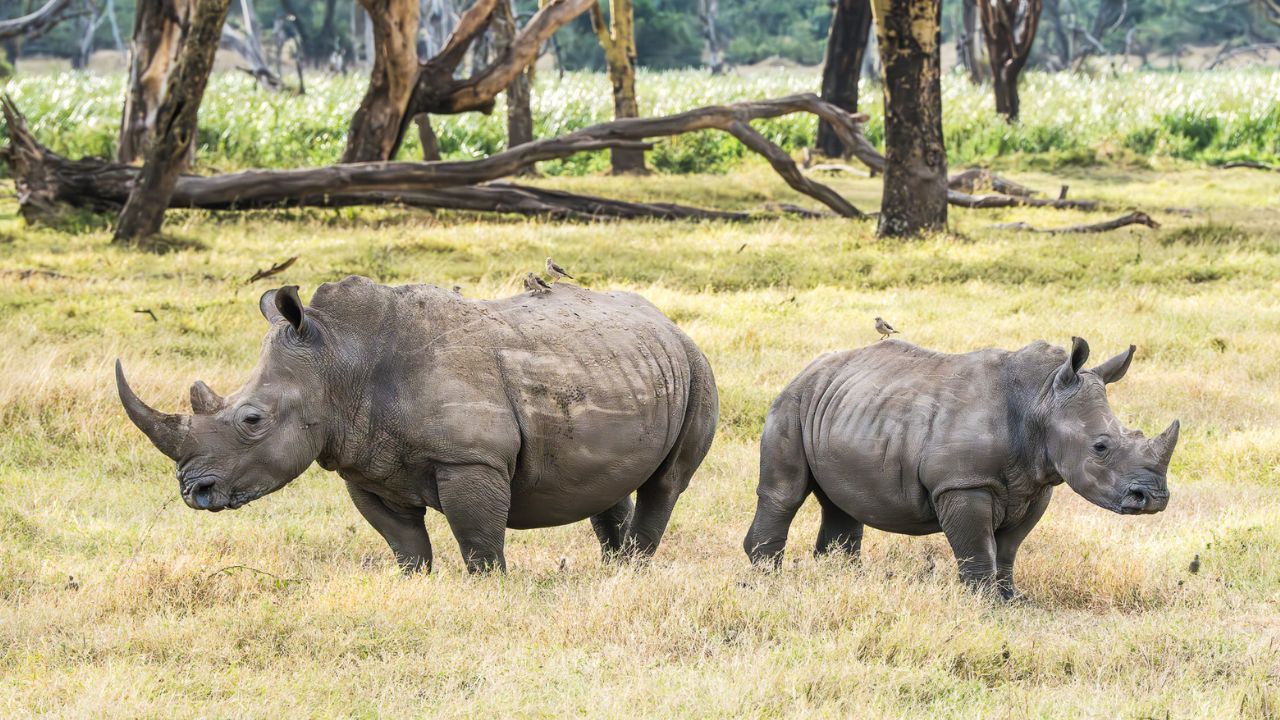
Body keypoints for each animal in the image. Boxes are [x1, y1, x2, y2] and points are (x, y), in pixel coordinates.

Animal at [117, 276, 718, 572]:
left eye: (252, 419)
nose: (194, 492)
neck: (339, 360)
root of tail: (665, 320)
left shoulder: (470, 459)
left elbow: (478, 543)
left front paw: (489, 591)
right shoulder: (362, 463)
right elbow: (404, 543)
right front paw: (415, 584)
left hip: (696, 363)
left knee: (667, 482)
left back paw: (634, 570)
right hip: (616, 364)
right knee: (606, 484)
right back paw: (613, 569)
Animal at [743, 337, 1179, 599]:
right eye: (1100, 447)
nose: (1154, 498)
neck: (1040, 398)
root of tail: (806, 369)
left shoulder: (1035, 485)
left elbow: (1008, 549)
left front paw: (1012, 599)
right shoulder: (964, 483)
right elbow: (977, 548)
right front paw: (984, 603)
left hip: (845, 408)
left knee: (842, 502)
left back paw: (842, 578)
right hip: (793, 403)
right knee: (785, 494)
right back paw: (766, 578)